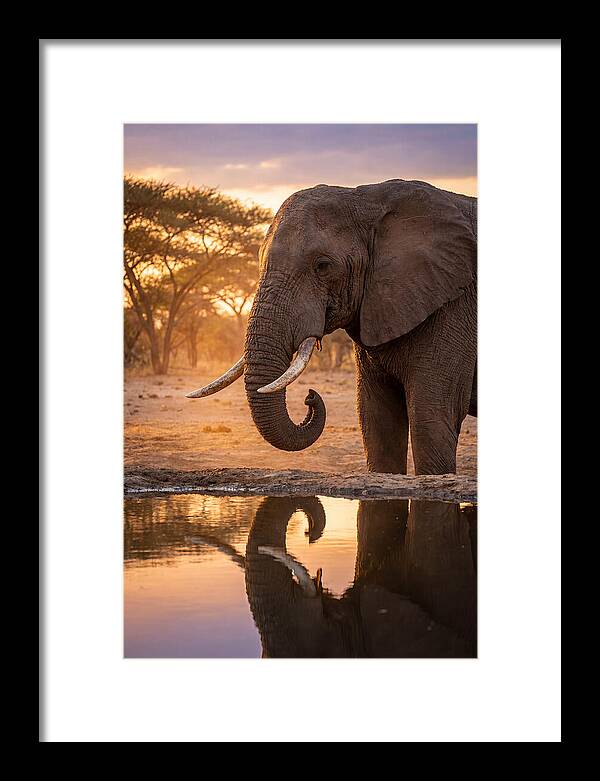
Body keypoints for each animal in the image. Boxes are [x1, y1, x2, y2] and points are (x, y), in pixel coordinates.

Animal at [187, 179, 477, 475]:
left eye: (323, 266)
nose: (310, 397)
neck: (369, 198)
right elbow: (376, 419)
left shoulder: (453, 306)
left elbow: (431, 418)